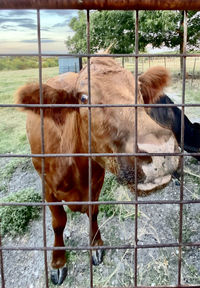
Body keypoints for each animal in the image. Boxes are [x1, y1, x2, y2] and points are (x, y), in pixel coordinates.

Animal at [14, 57, 179, 284]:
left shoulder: (97, 181)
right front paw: (58, 262)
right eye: (84, 98)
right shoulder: (47, 188)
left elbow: (93, 213)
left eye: (137, 89)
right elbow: (58, 223)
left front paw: (95, 244)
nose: (161, 150)